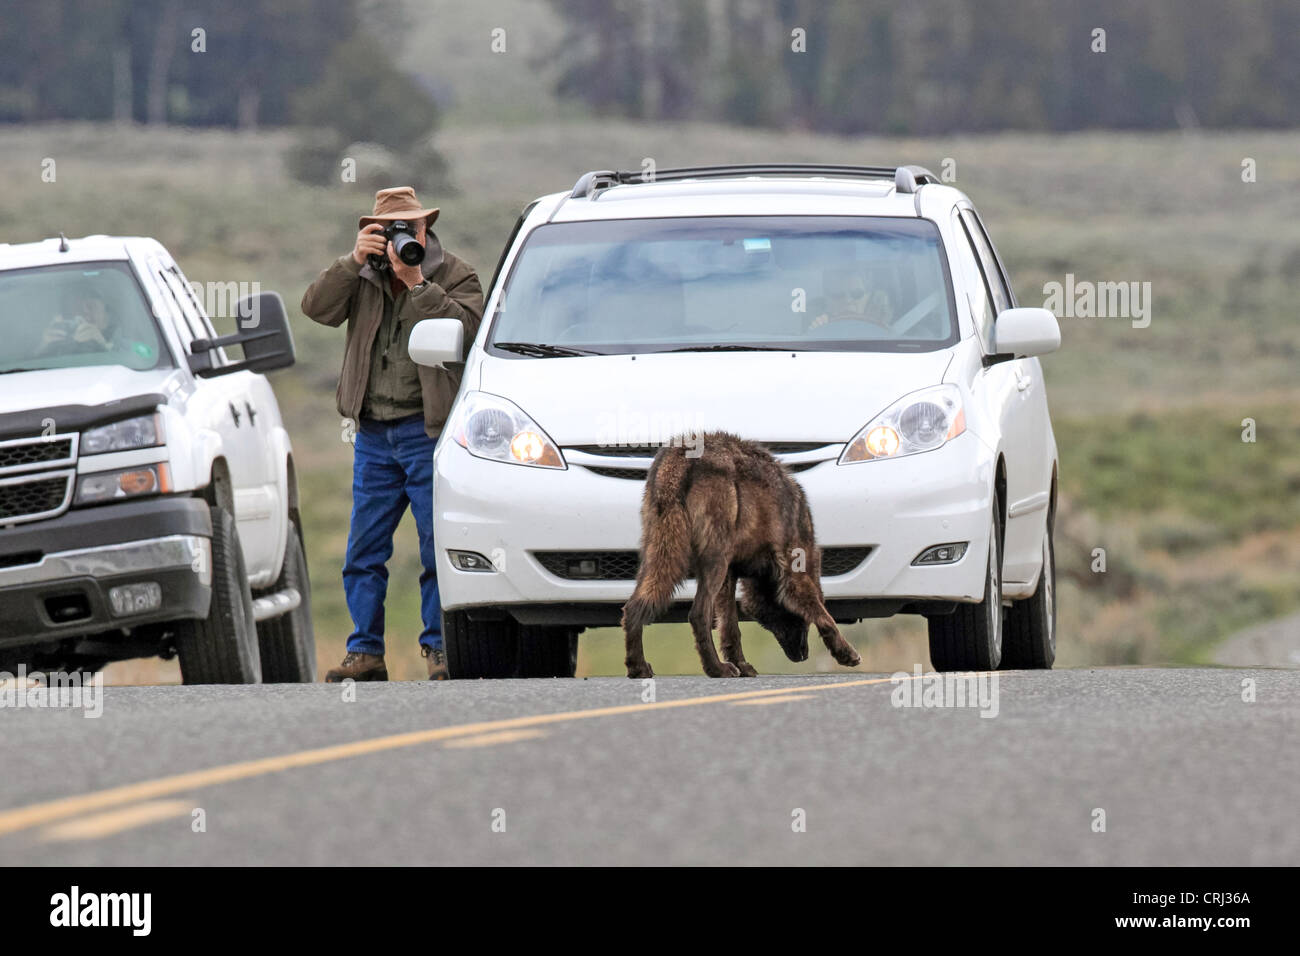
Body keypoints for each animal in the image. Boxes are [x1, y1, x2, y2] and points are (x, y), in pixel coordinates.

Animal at [621, 434, 863, 681]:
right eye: (775, 621)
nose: (800, 656)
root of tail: (679, 460)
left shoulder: (730, 575)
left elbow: (730, 627)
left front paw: (741, 665)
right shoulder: (794, 572)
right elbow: (823, 614)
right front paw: (846, 653)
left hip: (661, 557)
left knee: (633, 607)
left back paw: (638, 667)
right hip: (711, 563)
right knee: (698, 615)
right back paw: (715, 669)